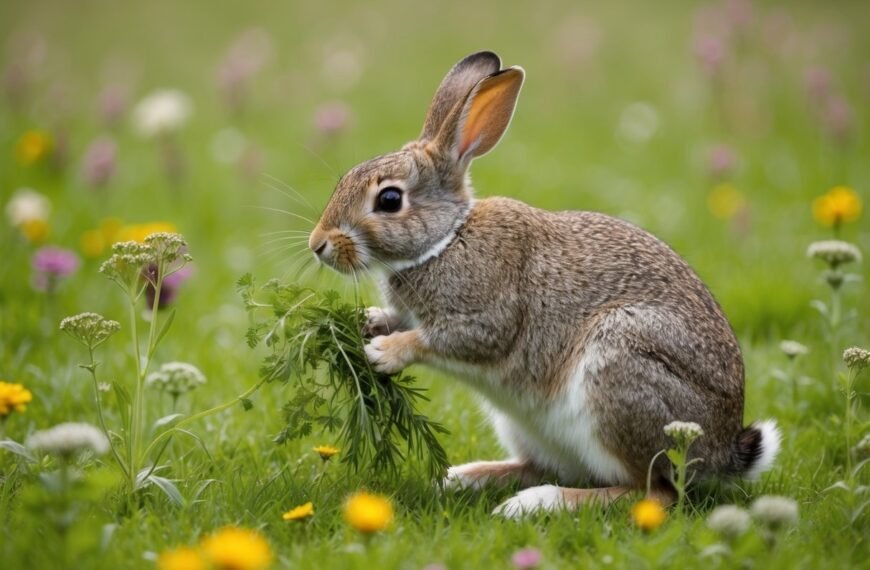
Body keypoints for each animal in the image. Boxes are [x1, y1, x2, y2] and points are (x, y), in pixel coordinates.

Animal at [306, 52, 784, 516]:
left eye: (389, 200)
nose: (318, 245)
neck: (446, 239)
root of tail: (721, 451)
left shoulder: (487, 317)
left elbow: (444, 339)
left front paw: (383, 353)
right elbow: (399, 318)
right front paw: (367, 321)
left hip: (621, 373)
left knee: (652, 493)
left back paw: (538, 503)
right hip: (524, 425)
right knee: (543, 466)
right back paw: (466, 478)